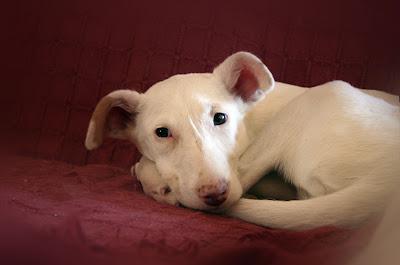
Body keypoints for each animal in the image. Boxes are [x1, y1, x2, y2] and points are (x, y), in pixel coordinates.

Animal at [86, 51, 398, 229]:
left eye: (220, 118)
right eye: (162, 133)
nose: (215, 195)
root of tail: (383, 183)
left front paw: (151, 177)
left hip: (317, 98)